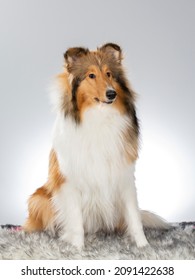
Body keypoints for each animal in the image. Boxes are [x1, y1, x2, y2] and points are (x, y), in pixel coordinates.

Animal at [23, 42, 169, 248]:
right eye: (91, 75)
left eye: (109, 74)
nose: (111, 93)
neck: (100, 116)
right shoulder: (70, 181)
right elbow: (76, 221)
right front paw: (77, 247)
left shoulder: (124, 176)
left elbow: (134, 217)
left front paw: (143, 246)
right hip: (39, 198)